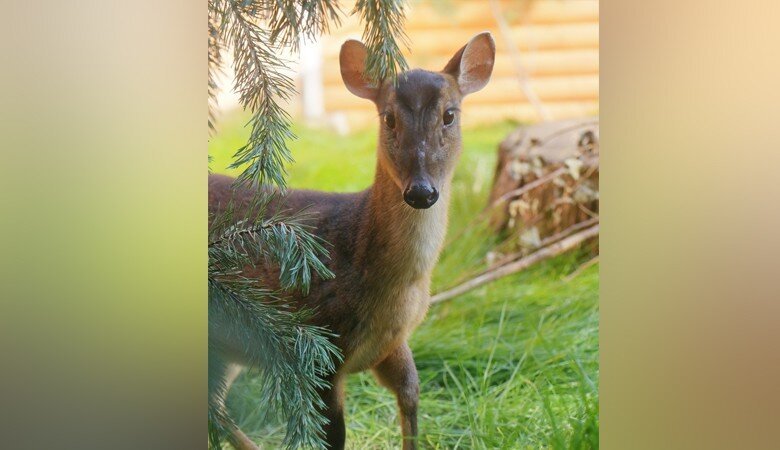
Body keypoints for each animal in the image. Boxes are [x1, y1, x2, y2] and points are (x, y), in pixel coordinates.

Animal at [209, 32, 494, 450]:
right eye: (389, 117)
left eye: (450, 115)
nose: (421, 191)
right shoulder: (320, 343)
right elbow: (335, 436)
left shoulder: (391, 344)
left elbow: (412, 401)